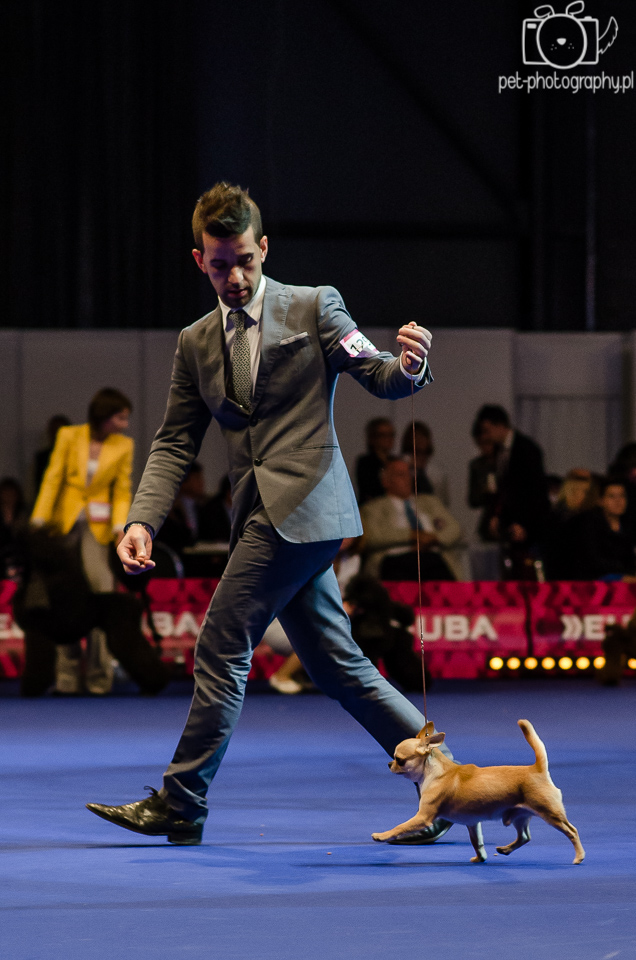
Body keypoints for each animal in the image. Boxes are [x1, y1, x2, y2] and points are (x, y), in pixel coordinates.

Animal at [372, 720, 584, 864]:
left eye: (399, 760)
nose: (389, 764)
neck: (433, 771)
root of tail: (537, 768)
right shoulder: (473, 823)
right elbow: (477, 842)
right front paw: (480, 858)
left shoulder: (423, 817)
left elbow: (400, 826)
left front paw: (382, 835)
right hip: (520, 816)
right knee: (525, 836)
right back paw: (506, 849)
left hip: (550, 813)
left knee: (572, 831)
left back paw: (579, 856)